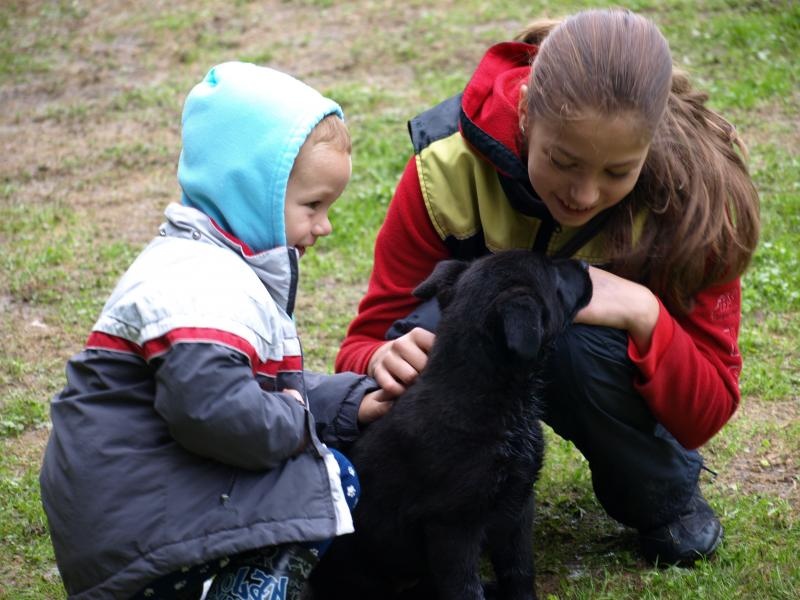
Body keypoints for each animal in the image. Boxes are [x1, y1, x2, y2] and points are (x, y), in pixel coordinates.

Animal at [310, 251, 592, 596]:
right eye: (553, 273)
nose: (586, 265)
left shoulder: (518, 506)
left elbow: (520, 569)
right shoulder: (453, 525)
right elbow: (465, 589)